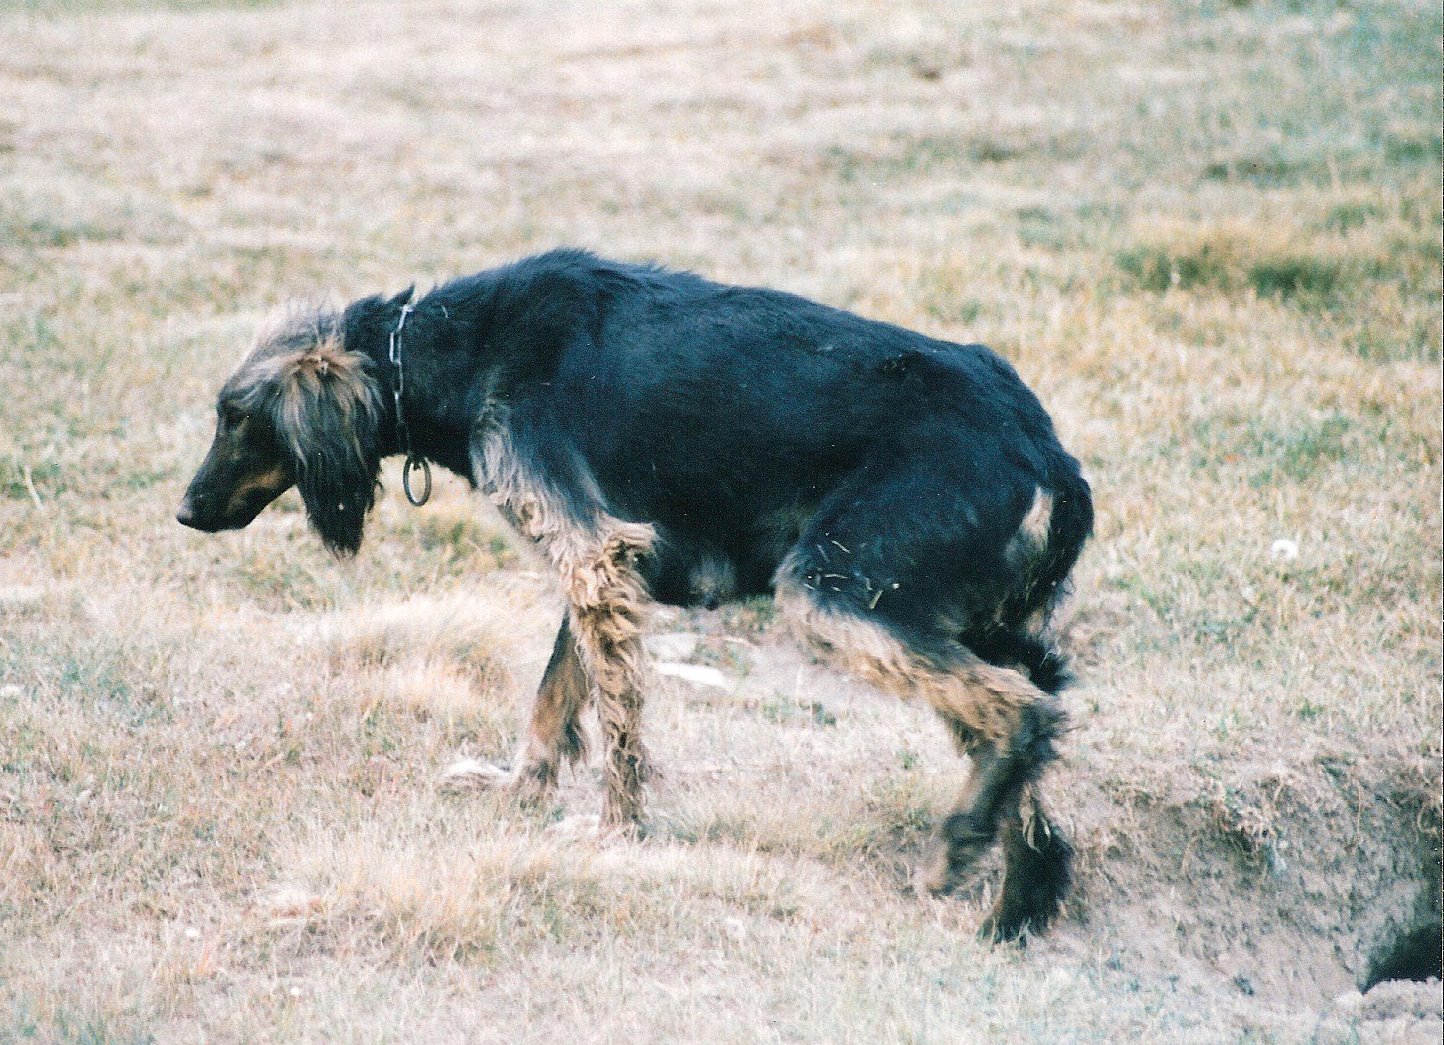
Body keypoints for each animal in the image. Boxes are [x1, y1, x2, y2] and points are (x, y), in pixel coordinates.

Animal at [174, 249, 1085, 941]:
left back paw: (957, 851)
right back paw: (1018, 901)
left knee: (1022, 713)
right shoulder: (597, 569)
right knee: (1028, 734)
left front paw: (616, 833)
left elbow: (616, 730)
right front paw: (520, 791)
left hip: (834, 588)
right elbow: (552, 700)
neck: (450, 349)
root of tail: (1047, 450)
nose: (183, 511)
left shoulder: (596, 555)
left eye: (234, 415)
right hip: (965, 617)